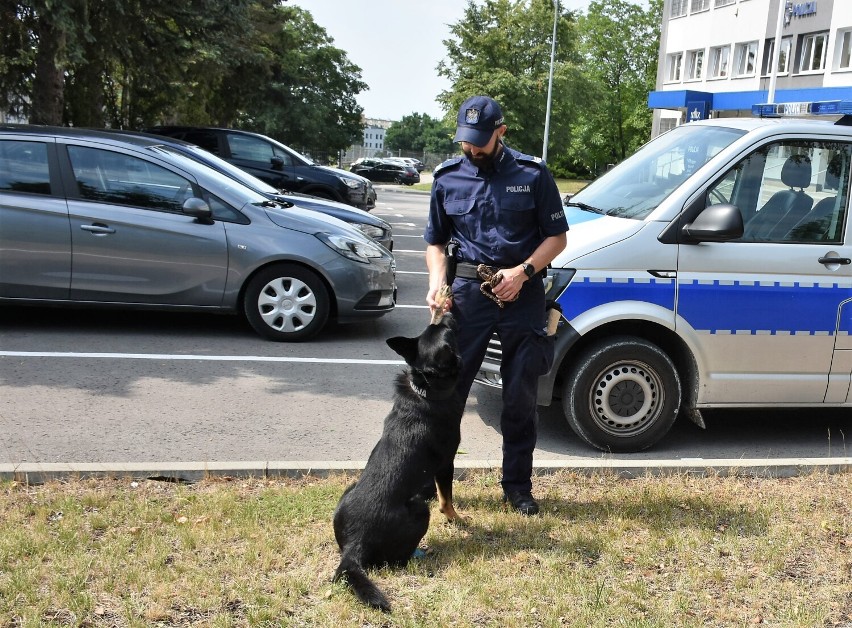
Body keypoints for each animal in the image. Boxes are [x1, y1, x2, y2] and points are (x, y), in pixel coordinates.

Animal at [332, 314, 466, 612]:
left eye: (439, 326)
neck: (425, 390)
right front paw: (456, 519)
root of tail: (355, 544)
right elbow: (446, 499)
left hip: (348, 489)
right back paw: (417, 553)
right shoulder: (446, 464)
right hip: (419, 509)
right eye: (449, 331)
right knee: (398, 560)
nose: (449, 312)